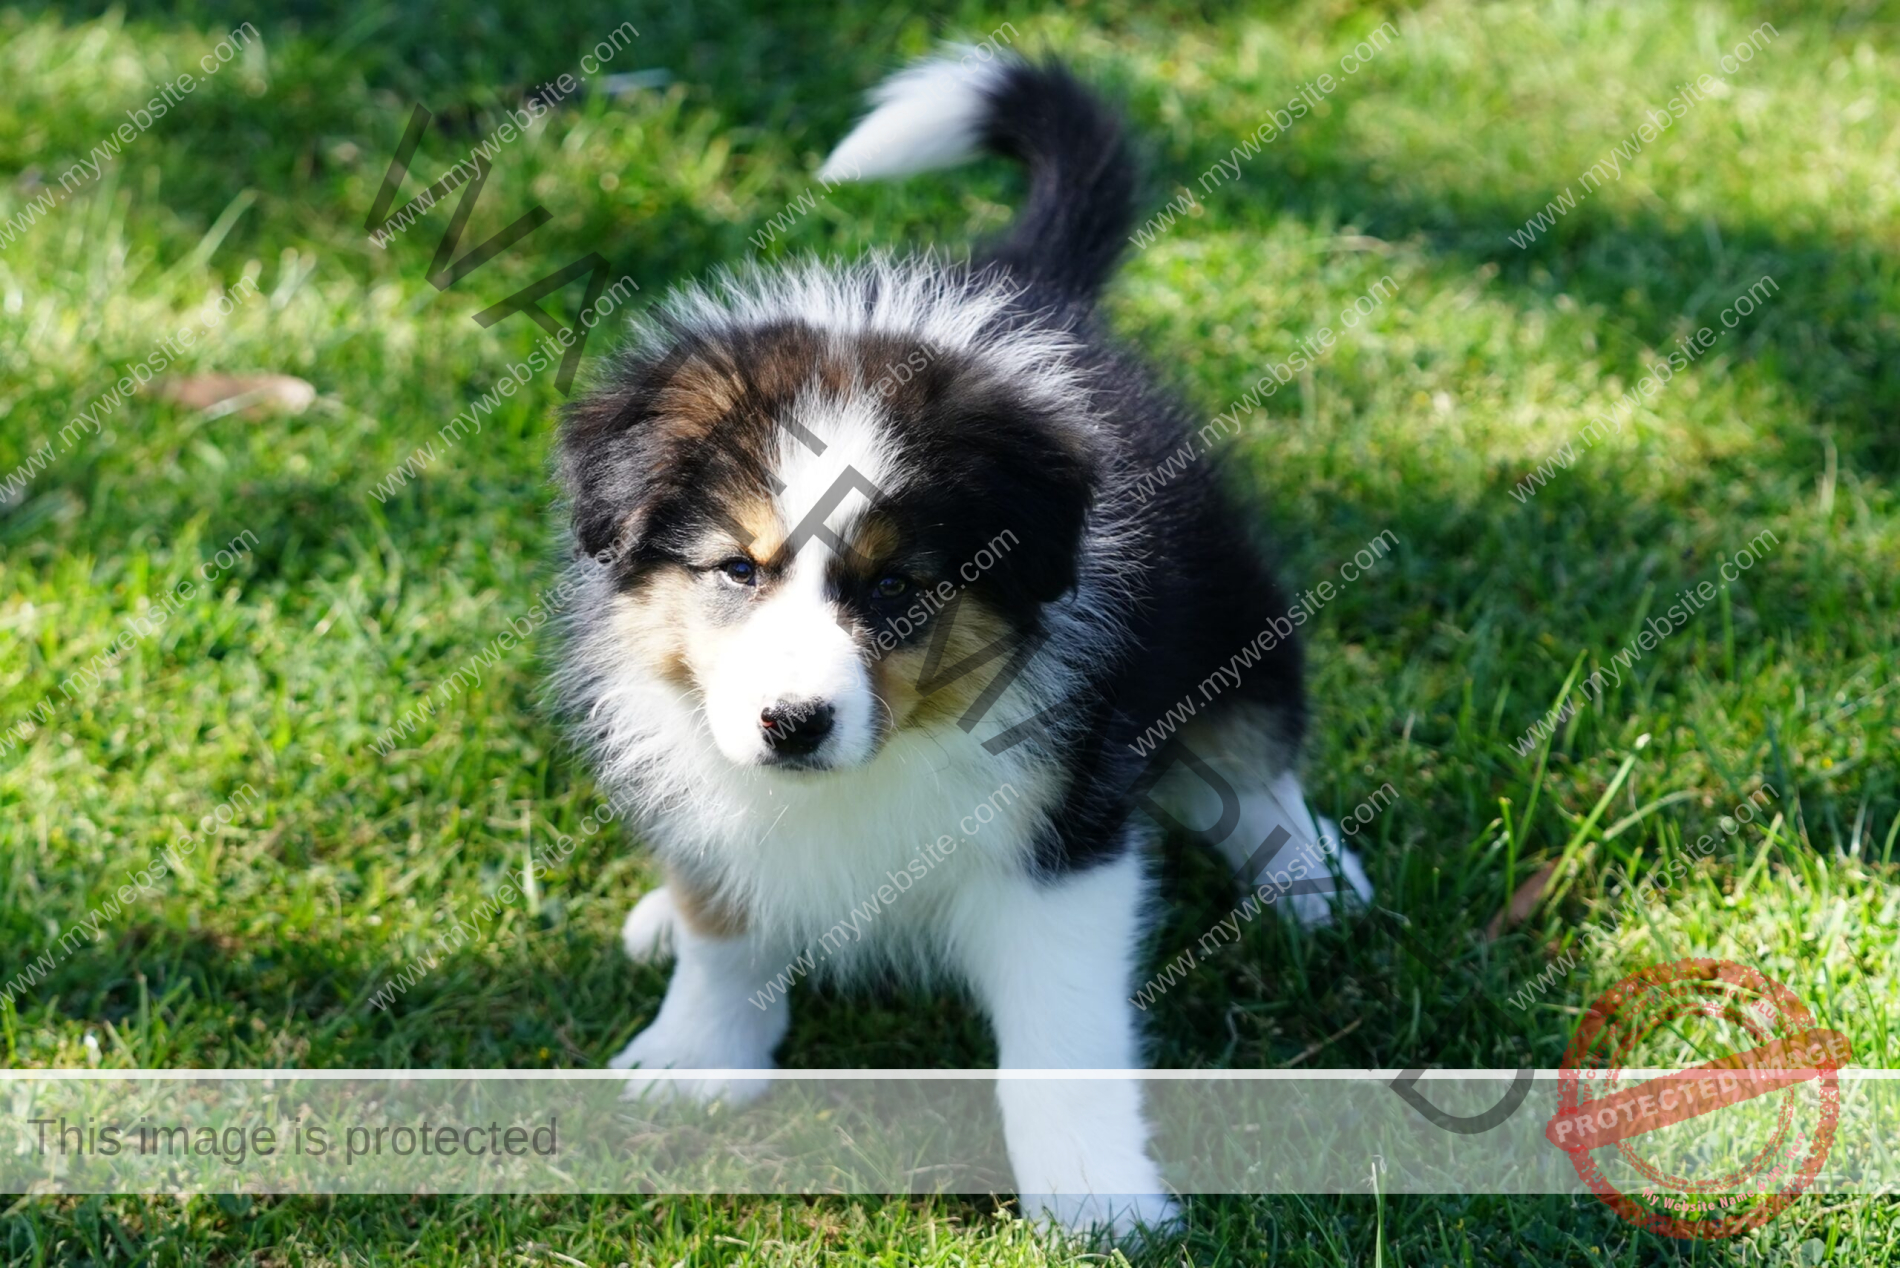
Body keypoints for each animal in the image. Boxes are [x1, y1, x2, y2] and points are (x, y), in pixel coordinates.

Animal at [554, 52, 1375, 1239]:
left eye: (898, 586)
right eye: (737, 571)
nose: (791, 724)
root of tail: (1029, 293)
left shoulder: (1063, 833)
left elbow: (1060, 1036)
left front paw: (1096, 1200)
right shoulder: (708, 776)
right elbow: (726, 927)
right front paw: (697, 1061)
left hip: (1227, 612)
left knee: (1255, 757)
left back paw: (1314, 887)